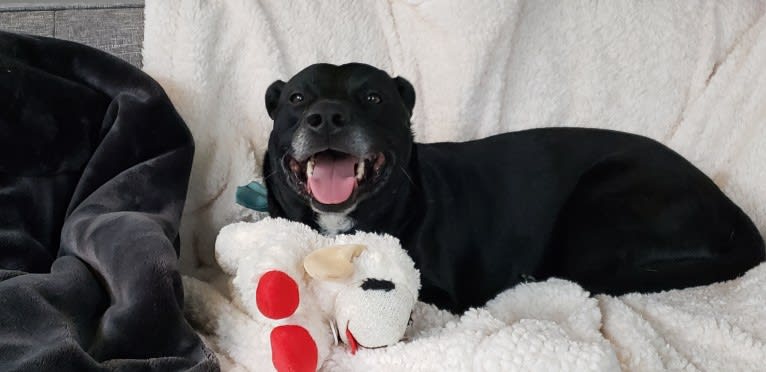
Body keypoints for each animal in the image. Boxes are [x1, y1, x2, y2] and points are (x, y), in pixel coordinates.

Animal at [262, 62, 760, 312]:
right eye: (297, 98)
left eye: (372, 97)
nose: (327, 117)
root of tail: (728, 205)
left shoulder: (436, 294)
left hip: (600, 203)